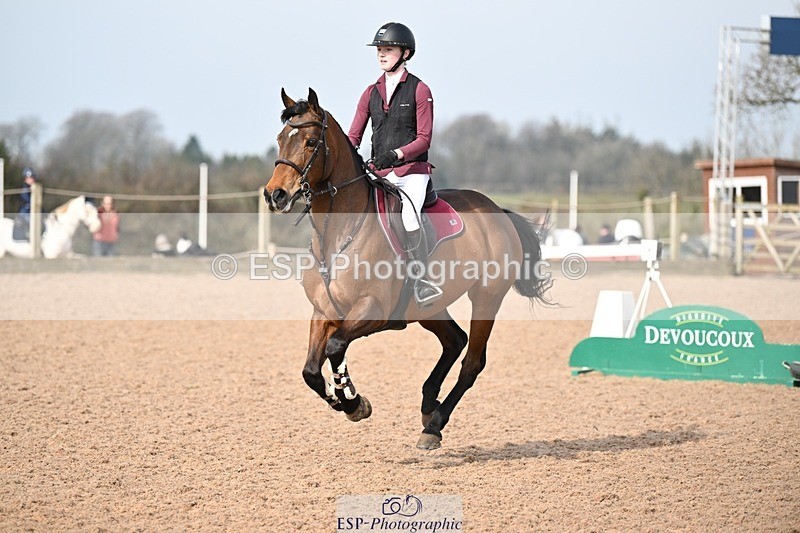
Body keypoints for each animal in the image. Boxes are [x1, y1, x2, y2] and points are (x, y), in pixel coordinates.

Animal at [264, 88, 550, 450]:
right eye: (279, 139)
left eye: (312, 142)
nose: (275, 195)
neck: (338, 234)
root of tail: (497, 209)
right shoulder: (324, 312)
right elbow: (311, 371)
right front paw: (342, 400)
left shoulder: (373, 311)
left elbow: (336, 348)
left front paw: (353, 401)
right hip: (429, 308)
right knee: (455, 341)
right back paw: (429, 406)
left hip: (486, 298)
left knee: (472, 362)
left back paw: (435, 425)